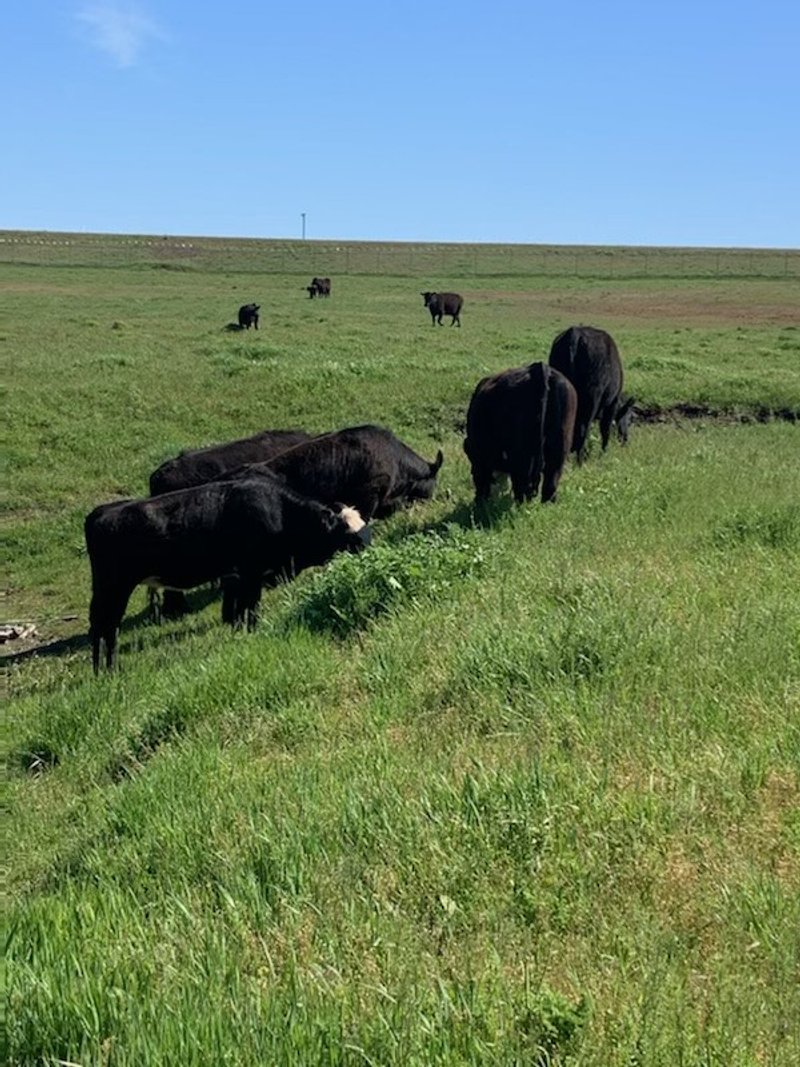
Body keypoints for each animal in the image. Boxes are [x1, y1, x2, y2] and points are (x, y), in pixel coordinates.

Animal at [85, 476, 371, 672]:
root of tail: (100, 512)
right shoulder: (251, 574)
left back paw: (101, 671)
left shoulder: (238, 578)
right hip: (116, 587)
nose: (371, 554)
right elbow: (251, 610)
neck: (281, 513)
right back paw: (110, 670)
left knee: (99, 626)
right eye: (351, 537)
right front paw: (252, 634)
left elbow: (238, 612)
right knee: (108, 626)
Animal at [463, 362, 577, 505]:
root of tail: (540, 368)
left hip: (522, 457)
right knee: (550, 481)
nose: (477, 500)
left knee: (522, 484)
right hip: (559, 447)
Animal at [548, 325, 634, 461]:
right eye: (630, 419)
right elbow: (605, 429)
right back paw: (580, 459)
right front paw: (603, 454)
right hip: (592, 398)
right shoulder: (611, 404)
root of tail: (575, 333)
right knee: (584, 428)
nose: (625, 440)